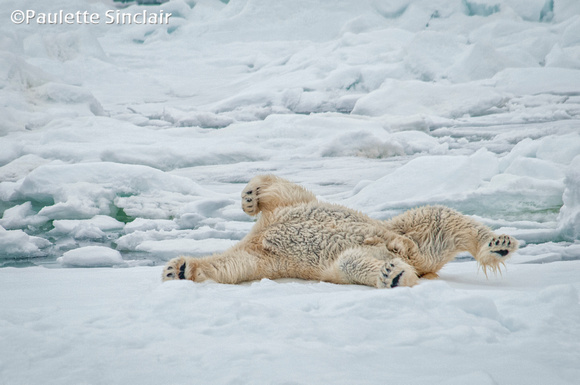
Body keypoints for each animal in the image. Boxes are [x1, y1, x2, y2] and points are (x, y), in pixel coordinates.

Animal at [161, 174, 520, 288]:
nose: (172, 268)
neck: (262, 233)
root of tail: (418, 260)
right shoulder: (261, 252)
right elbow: (232, 266)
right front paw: (177, 269)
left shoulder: (287, 208)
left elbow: (284, 189)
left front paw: (250, 196)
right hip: (374, 251)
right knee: (352, 263)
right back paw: (393, 274)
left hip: (408, 230)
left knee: (440, 216)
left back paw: (497, 242)